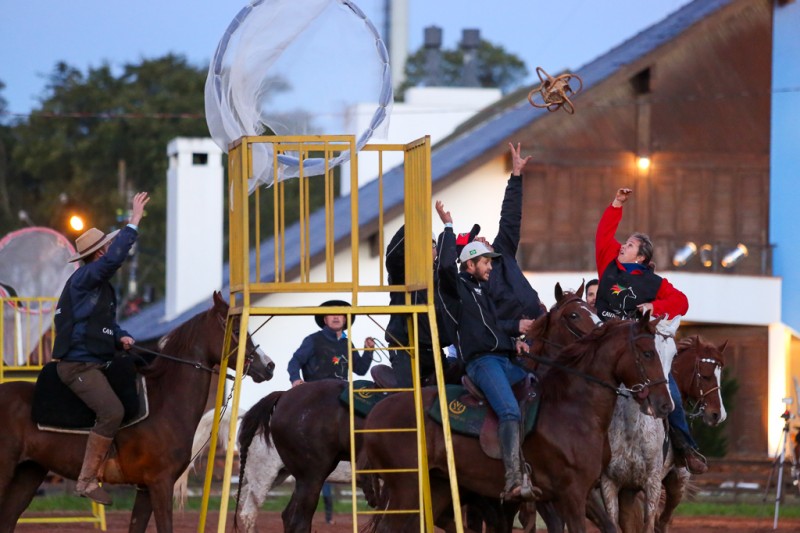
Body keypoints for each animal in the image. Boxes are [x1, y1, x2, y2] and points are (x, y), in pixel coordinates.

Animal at [0, 290, 276, 532]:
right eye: (237, 330)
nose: (269, 366)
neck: (164, 402)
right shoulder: (160, 484)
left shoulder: (145, 488)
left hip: (29, 474)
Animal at [233, 284, 600, 528]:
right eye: (573, 315)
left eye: (593, 313)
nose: (598, 337)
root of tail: (284, 397)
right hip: (302, 473)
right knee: (285, 515)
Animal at [366, 314, 672, 528]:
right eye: (648, 353)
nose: (664, 404)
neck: (572, 409)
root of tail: (376, 413)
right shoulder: (570, 495)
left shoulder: (585, 492)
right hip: (407, 489)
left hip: (437, 487)